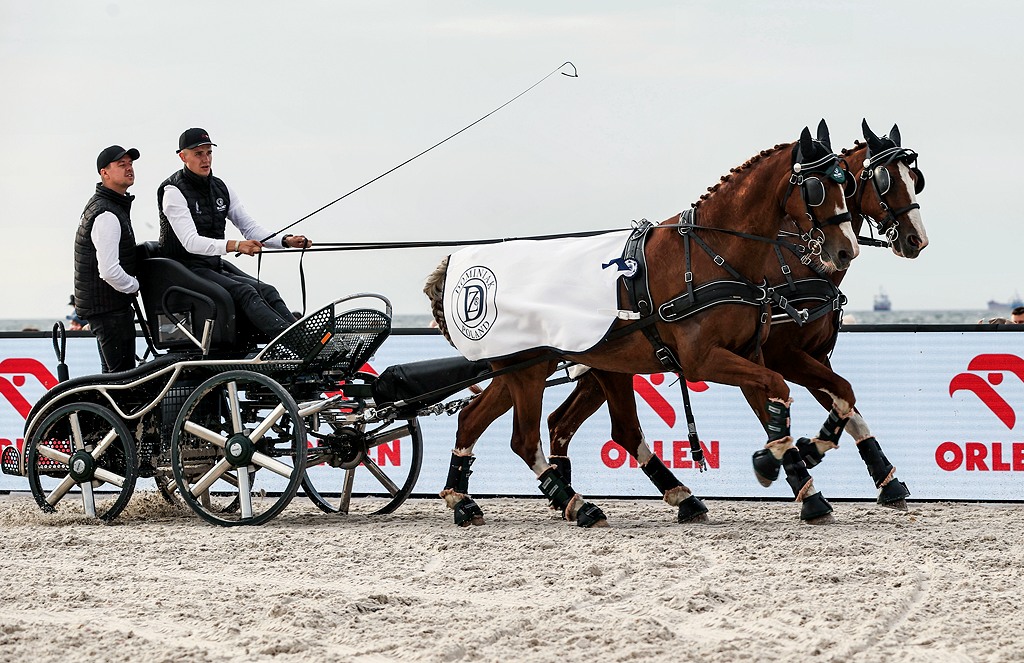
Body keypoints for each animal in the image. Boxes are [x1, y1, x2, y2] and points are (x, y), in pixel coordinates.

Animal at [419, 120, 860, 528]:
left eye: (848, 182)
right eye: (817, 187)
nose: (846, 250)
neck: (712, 254)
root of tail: (456, 267)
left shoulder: (748, 354)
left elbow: (809, 396)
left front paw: (803, 470)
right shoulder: (704, 360)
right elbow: (780, 389)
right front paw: (781, 460)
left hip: (539, 366)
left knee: (476, 419)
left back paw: (463, 500)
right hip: (528, 369)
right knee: (525, 440)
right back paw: (577, 504)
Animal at [544, 121, 929, 520]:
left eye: (916, 179)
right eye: (884, 179)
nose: (917, 240)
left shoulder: (802, 356)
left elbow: (845, 400)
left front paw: (880, 478)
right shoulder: (782, 357)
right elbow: (801, 404)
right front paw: (800, 460)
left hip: (608, 365)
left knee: (563, 423)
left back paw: (570, 492)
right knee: (605, 427)